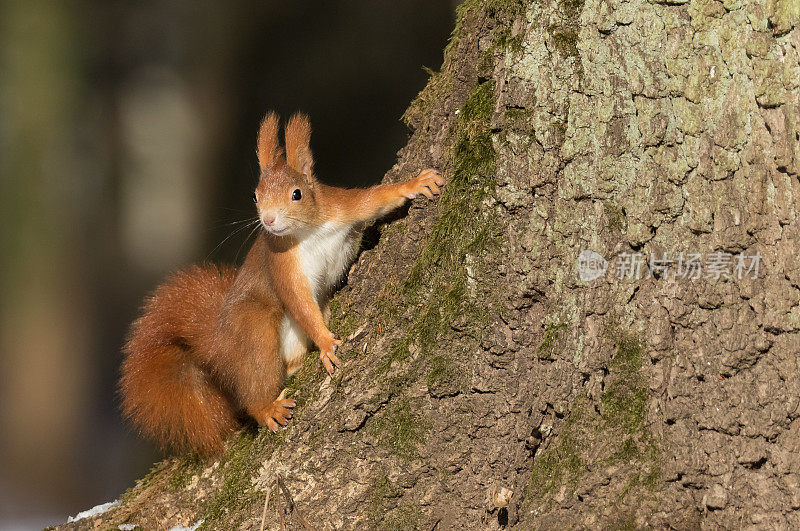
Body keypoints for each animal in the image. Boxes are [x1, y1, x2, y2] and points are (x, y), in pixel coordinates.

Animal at [119, 112, 444, 458]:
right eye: (255, 196)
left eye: (297, 194)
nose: (269, 221)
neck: (308, 231)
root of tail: (217, 347)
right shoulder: (281, 264)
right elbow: (299, 302)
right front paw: (326, 343)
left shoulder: (342, 206)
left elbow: (376, 199)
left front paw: (417, 183)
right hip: (252, 329)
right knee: (254, 380)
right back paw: (266, 408)